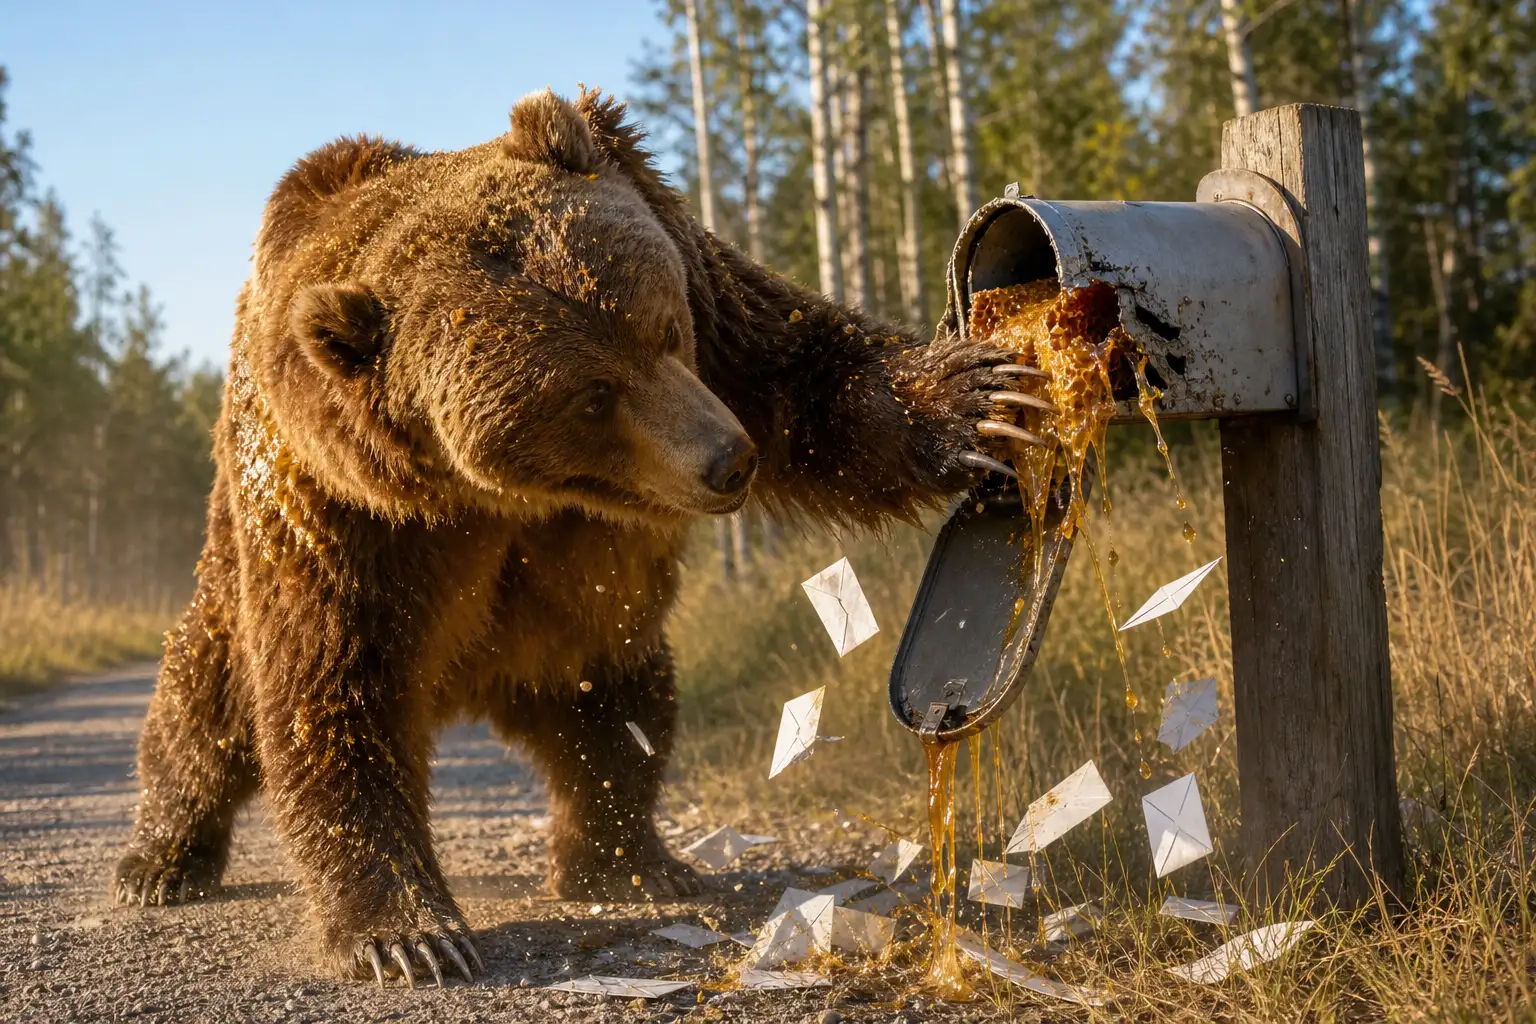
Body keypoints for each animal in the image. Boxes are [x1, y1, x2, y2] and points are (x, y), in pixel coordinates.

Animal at [110, 87, 1040, 987]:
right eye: (590, 398)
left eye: (662, 326)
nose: (729, 458)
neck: (483, 493)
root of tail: (472, 688)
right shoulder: (340, 502)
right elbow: (337, 687)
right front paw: (408, 937)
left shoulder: (704, 292)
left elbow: (802, 365)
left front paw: (977, 398)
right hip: (231, 579)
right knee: (203, 707)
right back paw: (157, 860)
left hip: (580, 648)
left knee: (620, 725)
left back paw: (630, 862)